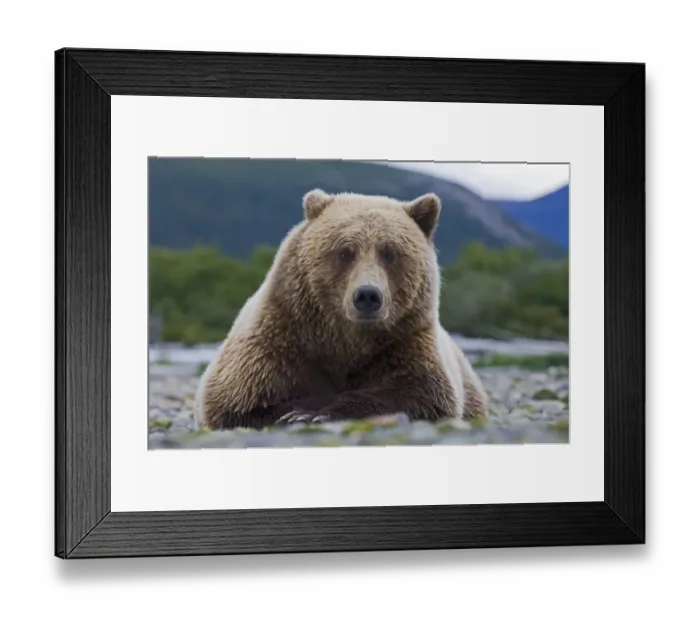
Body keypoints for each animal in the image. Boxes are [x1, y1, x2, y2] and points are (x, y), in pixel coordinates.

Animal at [193, 188, 489, 430]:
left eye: (390, 253)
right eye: (345, 252)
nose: (368, 295)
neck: (344, 339)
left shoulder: (404, 341)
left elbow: (420, 394)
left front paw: (319, 412)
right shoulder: (278, 340)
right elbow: (238, 401)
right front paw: (299, 411)